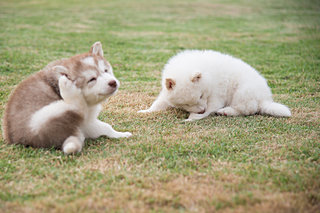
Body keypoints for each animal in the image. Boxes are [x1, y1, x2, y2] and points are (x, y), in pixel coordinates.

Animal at [1, 41, 131, 154]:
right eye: (92, 79)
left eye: (106, 70)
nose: (113, 82)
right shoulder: (84, 118)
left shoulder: (87, 123)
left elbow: (105, 127)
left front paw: (121, 134)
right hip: (43, 116)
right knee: (77, 108)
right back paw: (68, 87)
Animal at [139, 49, 292, 120]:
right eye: (187, 103)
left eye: (201, 96)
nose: (200, 110)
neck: (208, 77)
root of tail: (265, 100)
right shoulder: (166, 94)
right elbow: (158, 104)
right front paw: (145, 111)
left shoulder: (217, 95)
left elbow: (209, 108)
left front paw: (192, 118)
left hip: (242, 92)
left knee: (246, 109)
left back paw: (226, 111)